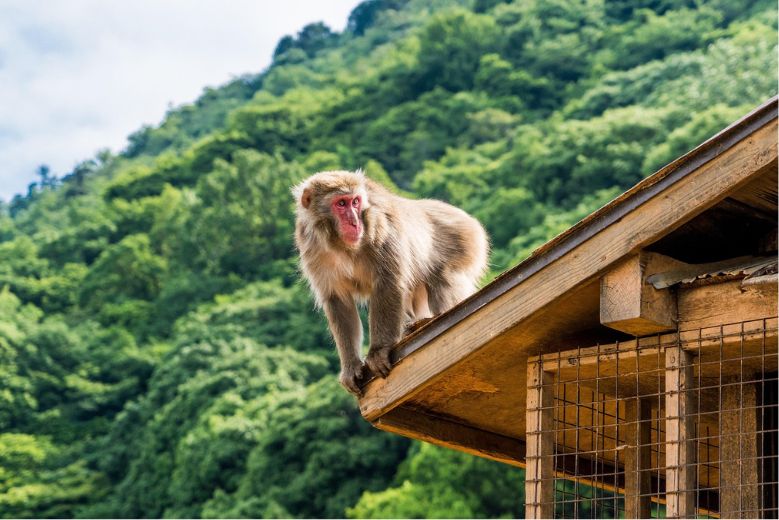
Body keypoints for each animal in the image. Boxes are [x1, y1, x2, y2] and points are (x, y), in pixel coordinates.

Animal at [293, 170, 488, 396]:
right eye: (341, 203)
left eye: (355, 202)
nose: (355, 222)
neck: (341, 245)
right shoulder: (312, 247)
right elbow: (338, 301)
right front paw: (350, 365)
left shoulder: (380, 228)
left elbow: (388, 283)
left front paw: (379, 351)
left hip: (465, 241)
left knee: (444, 279)